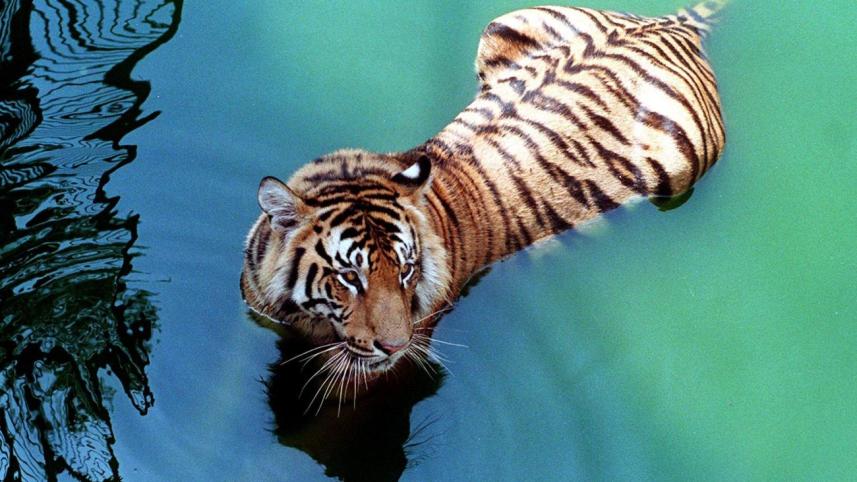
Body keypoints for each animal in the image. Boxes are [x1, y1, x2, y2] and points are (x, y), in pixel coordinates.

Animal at [242, 1, 727, 396]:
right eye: (348, 277)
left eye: (407, 270)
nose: (394, 345)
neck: (305, 317)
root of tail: (676, 23)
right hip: (505, 22)